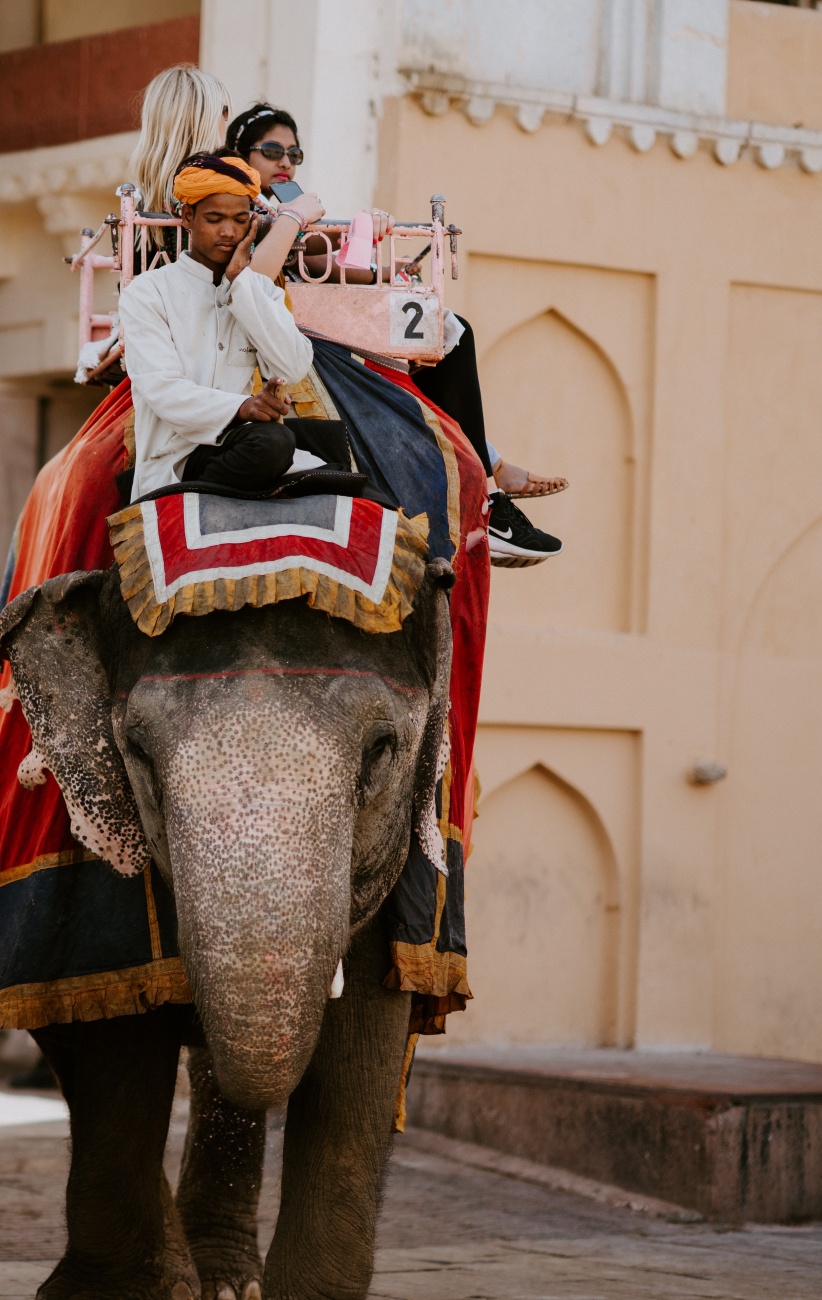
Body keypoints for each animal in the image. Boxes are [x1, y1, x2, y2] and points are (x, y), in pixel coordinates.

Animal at [0, 559, 452, 1300]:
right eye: (137, 753)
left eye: (381, 751)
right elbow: (114, 1031)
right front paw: (130, 1291)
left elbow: (365, 1036)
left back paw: (224, 1282)